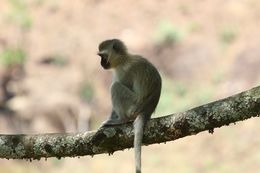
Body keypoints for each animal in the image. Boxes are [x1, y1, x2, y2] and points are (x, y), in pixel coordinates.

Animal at [97, 38, 161, 173]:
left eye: (103, 56)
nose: (101, 63)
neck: (123, 59)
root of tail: (146, 109)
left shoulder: (124, 72)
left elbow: (120, 83)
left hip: (132, 105)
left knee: (116, 87)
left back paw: (121, 119)